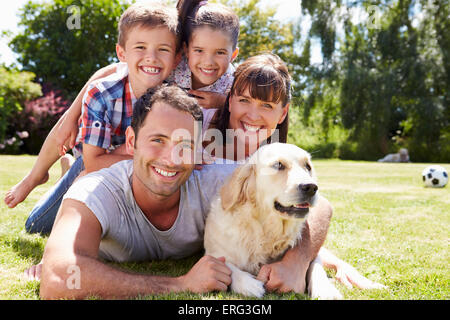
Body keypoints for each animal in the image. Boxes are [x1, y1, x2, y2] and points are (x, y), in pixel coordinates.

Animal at [204, 142, 342, 300]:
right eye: (278, 165)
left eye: (308, 166)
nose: (311, 187)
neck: (266, 231)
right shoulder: (214, 251)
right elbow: (225, 265)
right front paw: (249, 285)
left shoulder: (314, 256)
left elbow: (315, 265)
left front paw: (326, 290)